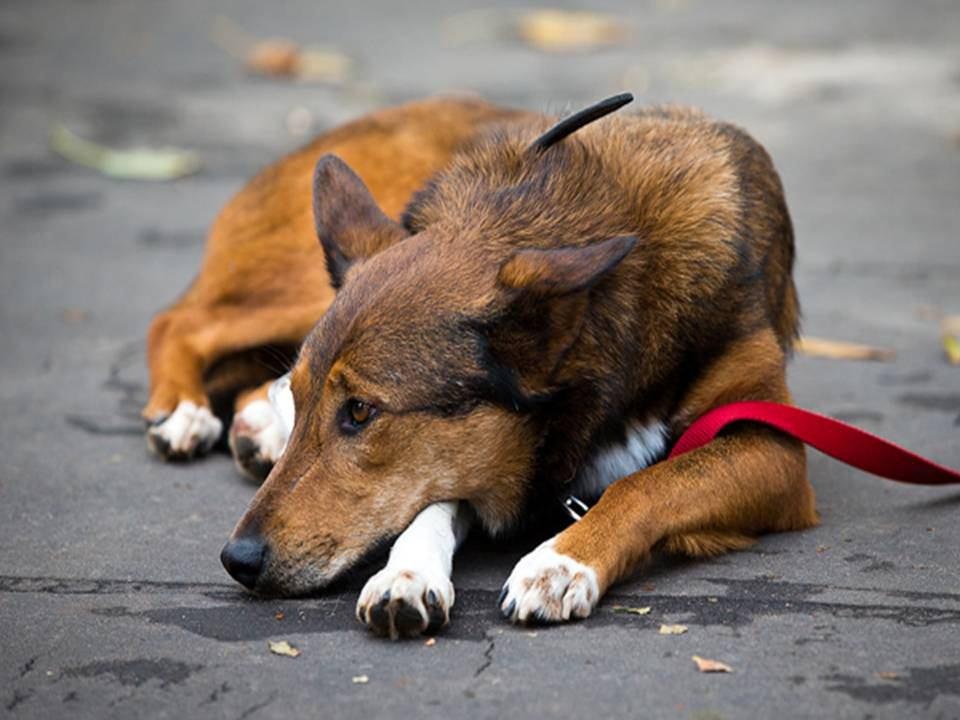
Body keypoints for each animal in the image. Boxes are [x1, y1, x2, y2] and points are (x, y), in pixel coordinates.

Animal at [148, 93, 816, 640]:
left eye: (360, 412)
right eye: (305, 391)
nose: (237, 559)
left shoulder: (772, 448)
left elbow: (646, 483)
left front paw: (561, 560)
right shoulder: (480, 447)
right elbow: (434, 500)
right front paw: (408, 573)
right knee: (180, 321)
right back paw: (185, 413)